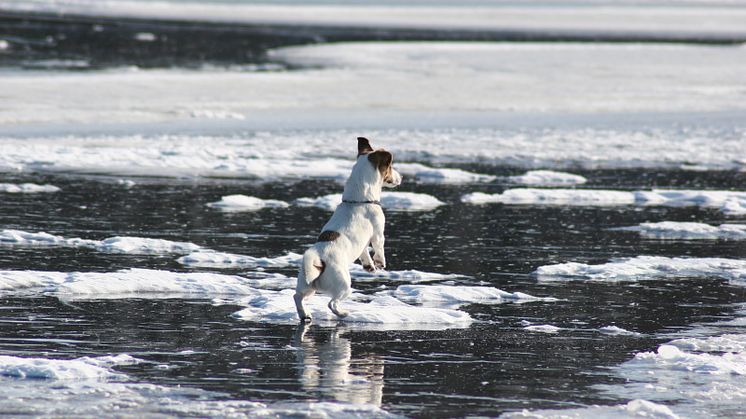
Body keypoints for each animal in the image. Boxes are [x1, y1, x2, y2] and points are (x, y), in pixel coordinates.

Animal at [294, 136, 404, 324]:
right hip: (344, 285)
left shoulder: (363, 244)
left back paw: (305, 314)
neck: (358, 200)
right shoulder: (378, 232)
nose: (401, 177)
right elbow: (379, 248)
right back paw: (343, 313)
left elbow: (365, 253)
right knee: (332, 303)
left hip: (307, 285)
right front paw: (380, 263)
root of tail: (318, 258)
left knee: (297, 297)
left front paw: (369, 266)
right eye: (390, 167)